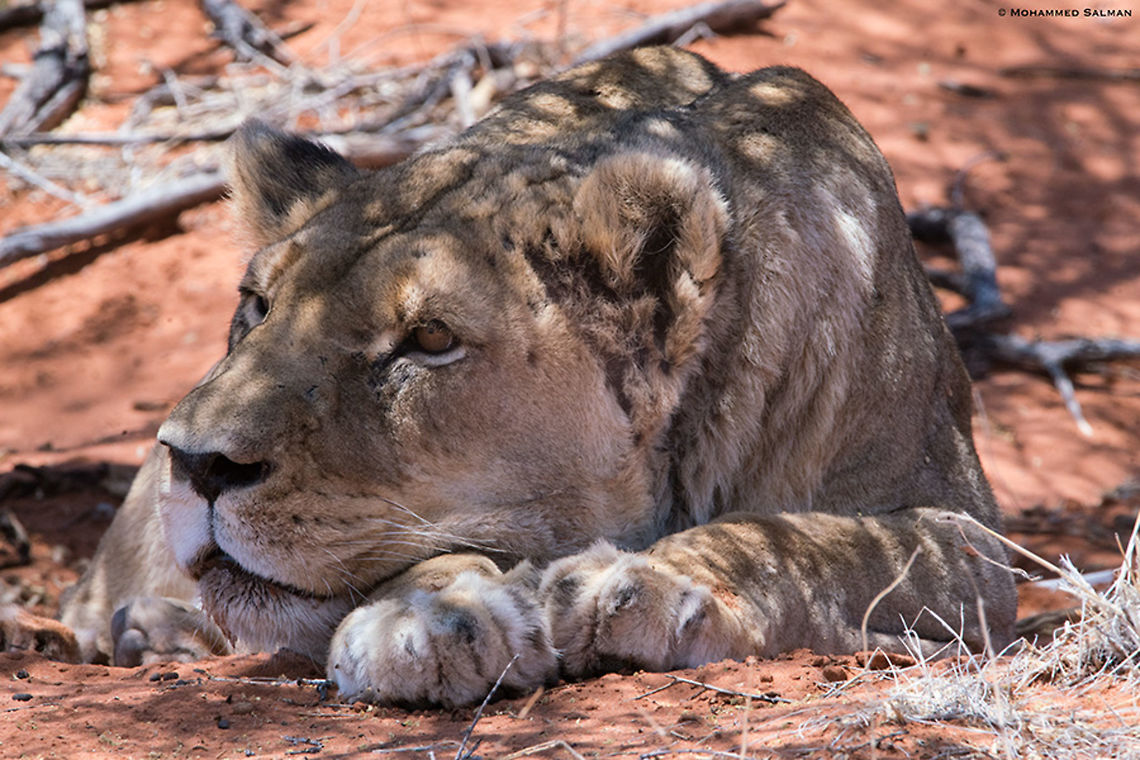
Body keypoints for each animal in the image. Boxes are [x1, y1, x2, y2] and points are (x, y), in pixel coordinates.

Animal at [13, 47, 1017, 706]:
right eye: (257, 304)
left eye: (428, 340)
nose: (195, 463)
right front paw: (435, 616)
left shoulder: (971, 540)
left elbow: (805, 540)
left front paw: (642, 585)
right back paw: (137, 631)